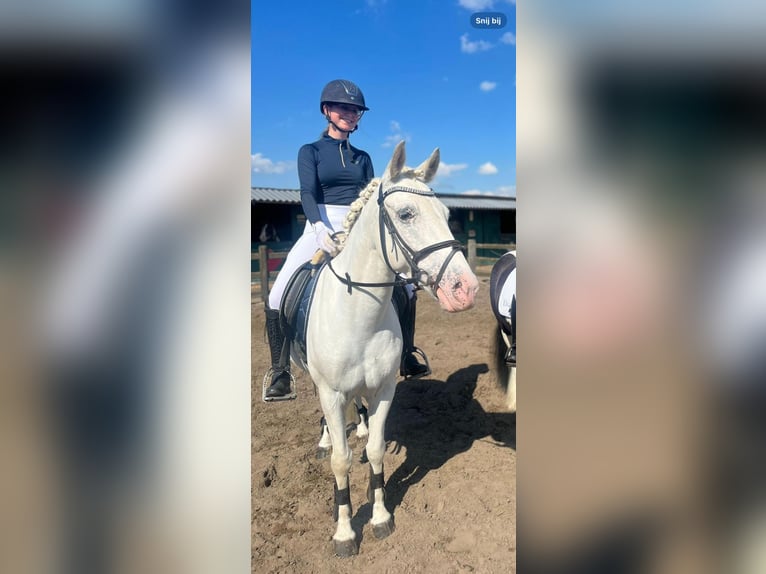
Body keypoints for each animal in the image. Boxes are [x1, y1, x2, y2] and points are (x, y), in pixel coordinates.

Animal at [300, 141, 480, 560]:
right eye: (406, 214)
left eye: (448, 215)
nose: (466, 289)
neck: (358, 315)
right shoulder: (331, 393)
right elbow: (341, 461)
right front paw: (345, 533)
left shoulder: (384, 389)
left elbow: (378, 450)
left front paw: (380, 516)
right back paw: (324, 439)